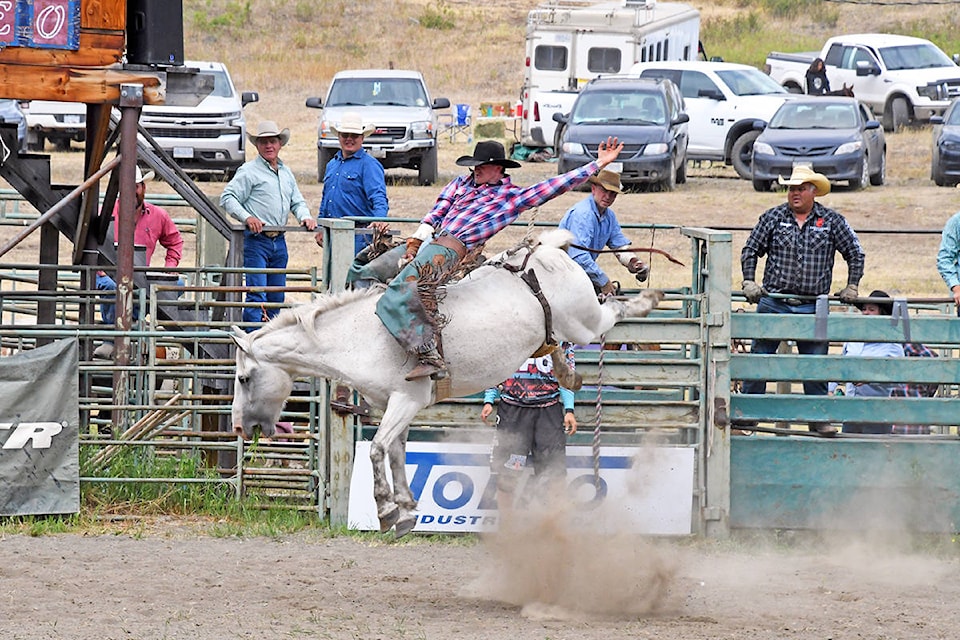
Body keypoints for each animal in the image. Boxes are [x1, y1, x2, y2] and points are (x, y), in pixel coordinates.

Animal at [232, 230, 660, 536]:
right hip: (559, 328)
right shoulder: (396, 405)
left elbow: (378, 449)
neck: (358, 336)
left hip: (585, 320)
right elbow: (395, 451)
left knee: (612, 311)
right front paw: (405, 509)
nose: (239, 426)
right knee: (557, 345)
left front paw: (386, 509)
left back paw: (647, 298)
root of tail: (544, 249)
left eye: (244, 377)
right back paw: (571, 373)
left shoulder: (407, 398)